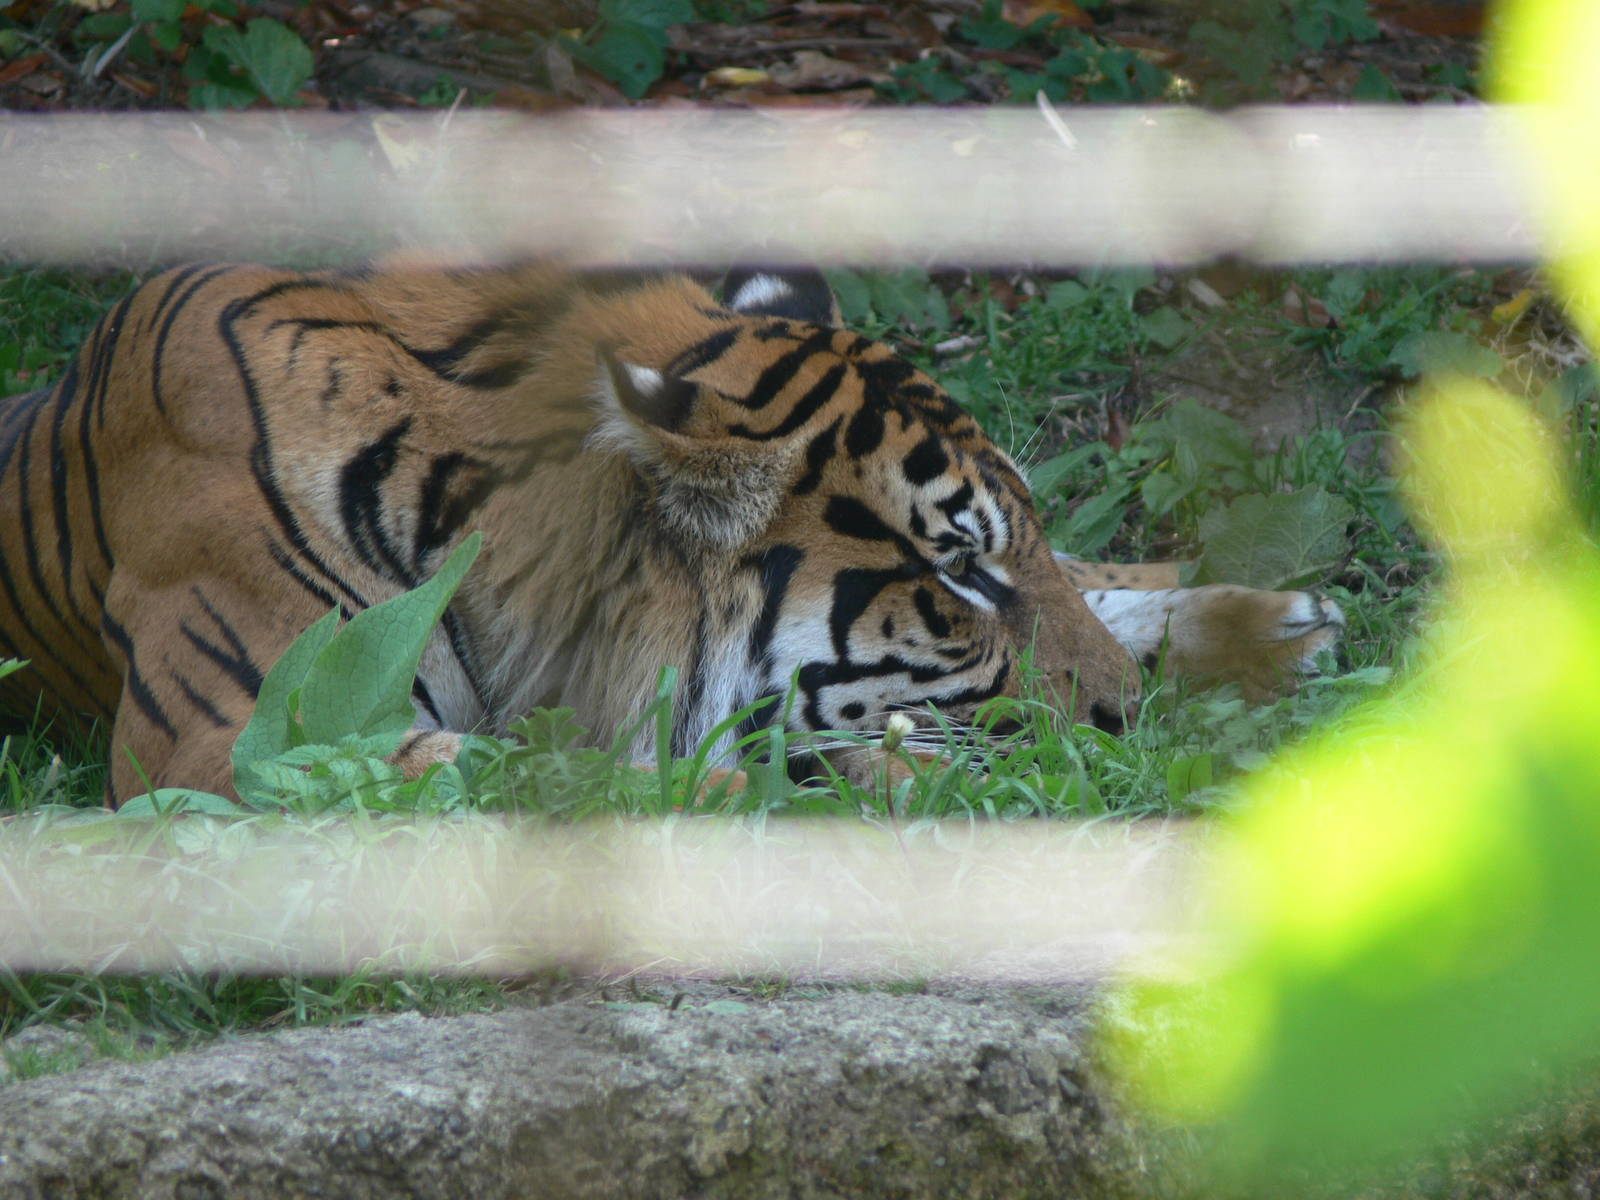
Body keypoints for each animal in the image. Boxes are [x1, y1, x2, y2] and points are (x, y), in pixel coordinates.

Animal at [0, 259, 1343, 802]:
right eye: (956, 570)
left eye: (1002, 550)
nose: (1126, 720)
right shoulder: (245, 743)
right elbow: (568, 774)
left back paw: (1287, 620)